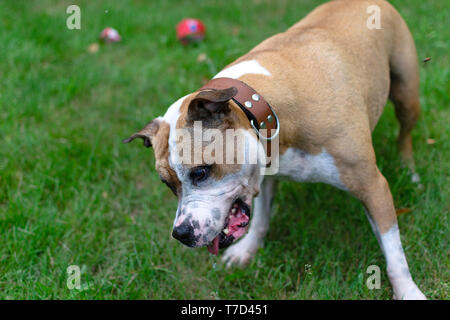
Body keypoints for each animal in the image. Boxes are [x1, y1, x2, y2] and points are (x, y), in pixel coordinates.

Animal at [125, 0, 426, 300]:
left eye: (200, 172)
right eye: (166, 184)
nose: (181, 234)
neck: (262, 108)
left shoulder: (373, 188)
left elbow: (394, 254)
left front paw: (408, 290)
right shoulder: (264, 172)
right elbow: (260, 218)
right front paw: (247, 250)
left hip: (406, 94)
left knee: (405, 133)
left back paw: (409, 170)